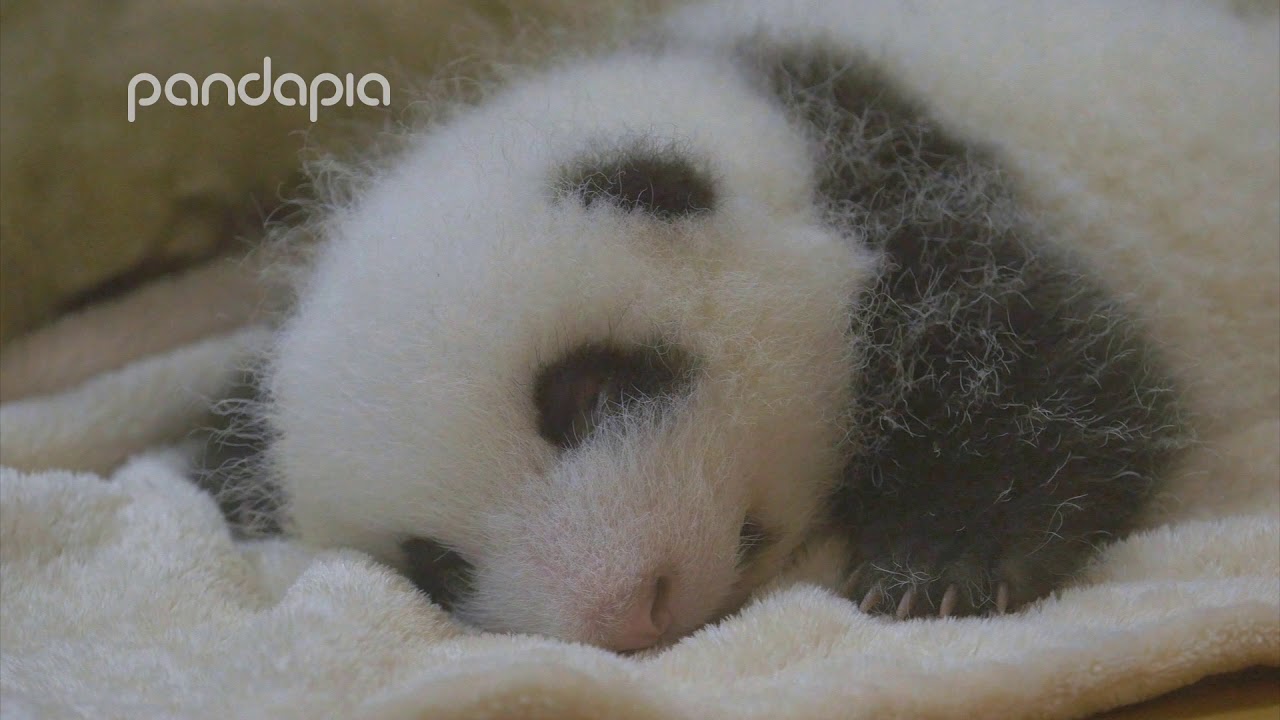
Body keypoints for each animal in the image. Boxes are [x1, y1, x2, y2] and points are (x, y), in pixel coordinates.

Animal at [244, 0, 1199, 652]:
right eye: (436, 566)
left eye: (584, 392)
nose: (630, 608)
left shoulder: (911, 189)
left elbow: (1063, 366)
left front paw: (941, 567)